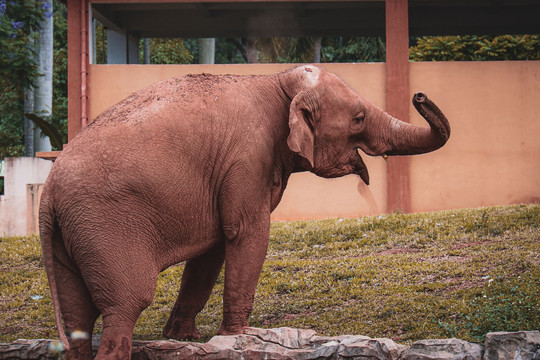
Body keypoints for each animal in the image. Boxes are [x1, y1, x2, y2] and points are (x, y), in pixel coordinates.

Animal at [39, 65, 452, 360]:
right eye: (359, 118)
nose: (419, 94)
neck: (276, 82)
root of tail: (47, 195)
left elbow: (213, 250)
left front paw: (184, 337)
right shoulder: (247, 160)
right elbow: (246, 232)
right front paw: (238, 338)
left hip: (71, 234)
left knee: (77, 319)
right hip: (105, 227)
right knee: (126, 304)